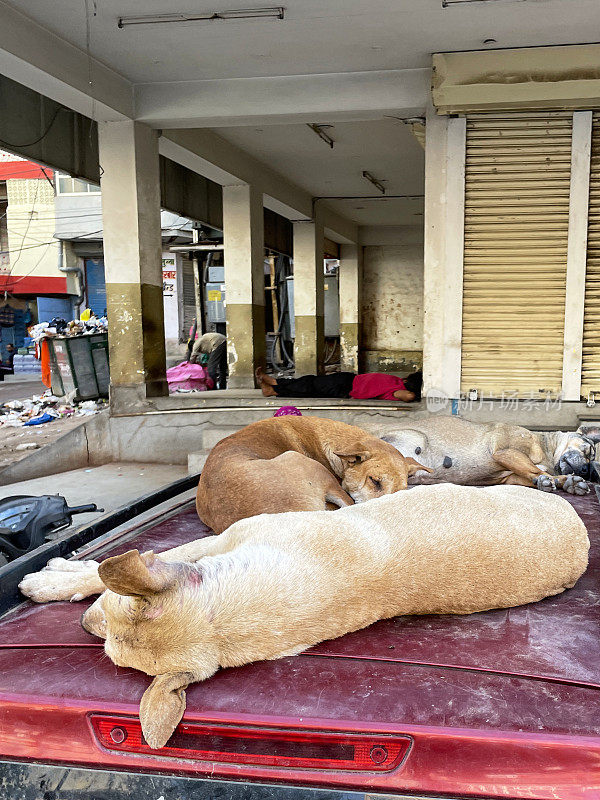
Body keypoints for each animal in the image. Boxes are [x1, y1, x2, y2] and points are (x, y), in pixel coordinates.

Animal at [19, 484, 592, 752]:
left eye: (107, 621)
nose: (83, 629)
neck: (224, 614)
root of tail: (582, 534)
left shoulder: (217, 542)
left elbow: (101, 572)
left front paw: (55, 579)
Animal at [378, 418, 596, 494]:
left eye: (590, 457)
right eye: (588, 450)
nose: (586, 470)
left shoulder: (509, 478)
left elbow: (535, 475)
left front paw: (568, 482)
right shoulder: (505, 451)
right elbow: (535, 470)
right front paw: (551, 479)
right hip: (415, 438)